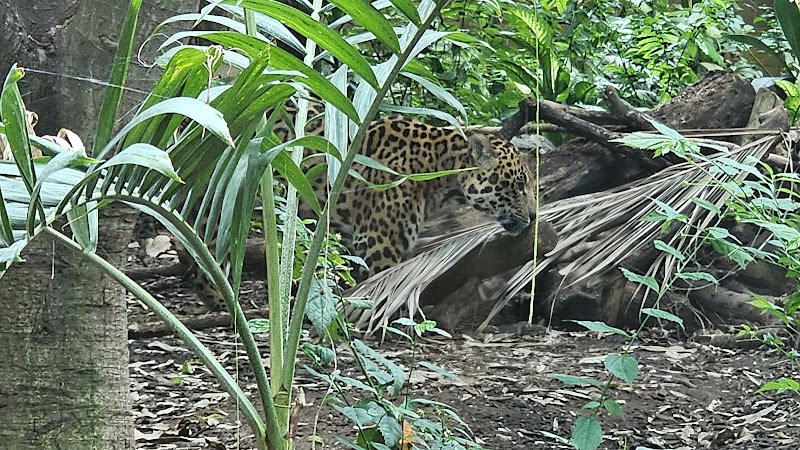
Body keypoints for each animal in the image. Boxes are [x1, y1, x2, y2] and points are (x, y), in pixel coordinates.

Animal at [194, 108, 538, 311]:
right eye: (519, 184)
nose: (534, 215)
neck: (438, 169)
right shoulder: (380, 243)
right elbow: (380, 287)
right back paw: (217, 296)